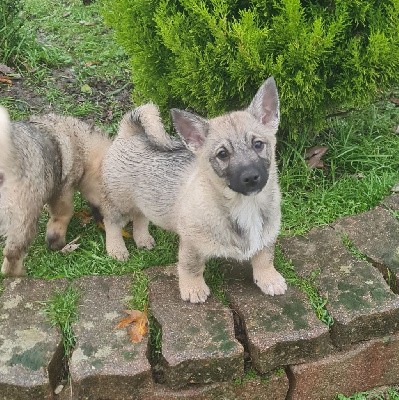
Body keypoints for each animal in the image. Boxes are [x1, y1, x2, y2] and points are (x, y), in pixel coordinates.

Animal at [0, 107, 111, 276]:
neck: (81, 146)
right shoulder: (63, 190)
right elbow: (62, 216)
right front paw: (56, 243)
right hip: (23, 217)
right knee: (13, 252)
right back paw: (16, 274)